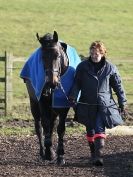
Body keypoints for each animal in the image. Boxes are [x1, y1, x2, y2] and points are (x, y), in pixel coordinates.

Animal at [20, 31, 80, 165]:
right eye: (42, 57)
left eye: (57, 55)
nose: (51, 82)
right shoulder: (42, 102)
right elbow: (45, 125)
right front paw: (49, 153)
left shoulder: (63, 105)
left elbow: (60, 129)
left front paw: (60, 155)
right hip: (34, 104)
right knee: (39, 127)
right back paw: (43, 151)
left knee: (52, 126)